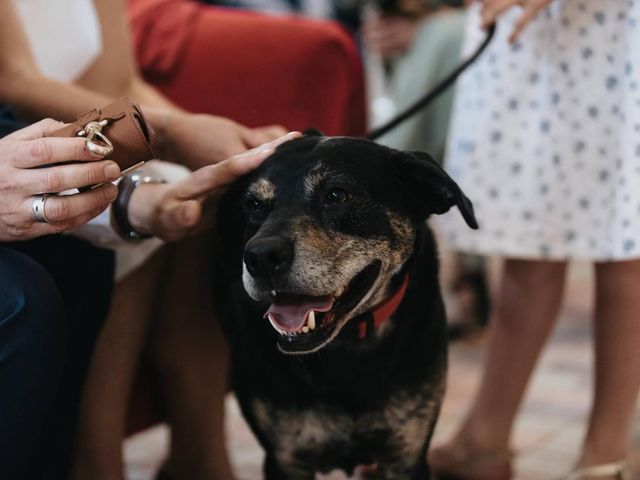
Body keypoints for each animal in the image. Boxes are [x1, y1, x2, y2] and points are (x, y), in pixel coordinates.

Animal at [216, 132, 480, 480]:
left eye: (336, 195)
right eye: (254, 205)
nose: (260, 257)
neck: (349, 342)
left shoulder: (406, 454)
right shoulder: (285, 458)